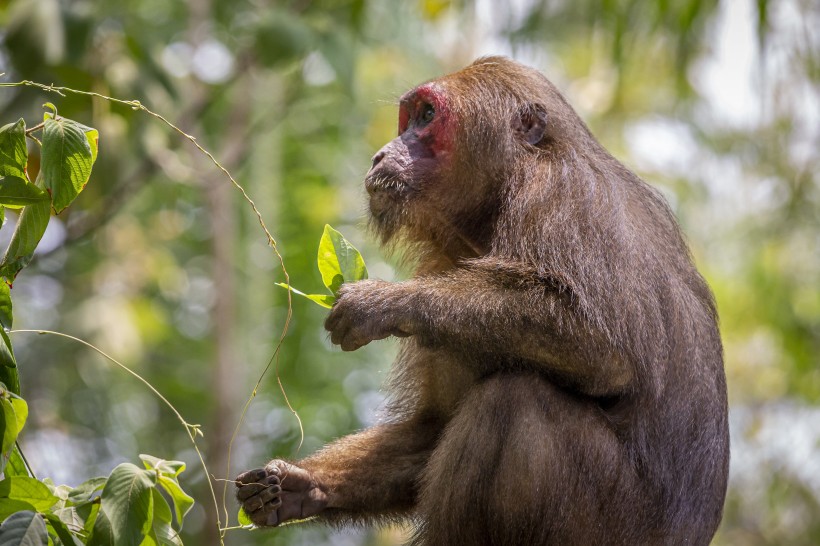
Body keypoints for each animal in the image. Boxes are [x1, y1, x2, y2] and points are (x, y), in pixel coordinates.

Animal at [237, 56, 732, 544]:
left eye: (427, 116)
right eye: (409, 117)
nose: (381, 153)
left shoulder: (559, 196)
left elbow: (607, 350)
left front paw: (385, 303)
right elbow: (433, 427)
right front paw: (302, 486)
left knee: (514, 401)